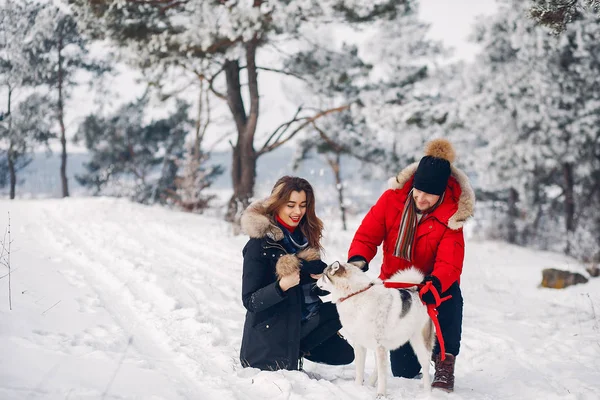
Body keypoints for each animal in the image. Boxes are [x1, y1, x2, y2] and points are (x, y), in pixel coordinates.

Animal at [316, 262, 434, 396]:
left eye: (323, 274)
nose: (315, 282)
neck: (355, 294)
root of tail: (417, 292)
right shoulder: (361, 345)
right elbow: (360, 370)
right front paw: (358, 388)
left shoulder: (379, 346)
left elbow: (382, 376)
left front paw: (381, 394)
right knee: (378, 367)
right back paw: (371, 383)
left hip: (420, 344)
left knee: (425, 367)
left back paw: (427, 392)